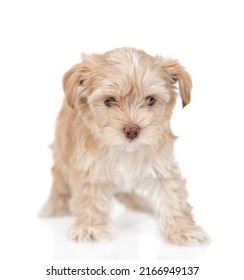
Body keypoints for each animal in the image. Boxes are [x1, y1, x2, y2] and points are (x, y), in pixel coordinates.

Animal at [41, 47, 209, 244]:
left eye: (151, 100)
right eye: (109, 100)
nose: (132, 130)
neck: (124, 151)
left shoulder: (162, 166)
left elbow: (173, 196)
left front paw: (183, 229)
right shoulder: (89, 167)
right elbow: (89, 197)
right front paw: (91, 227)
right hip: (61, 151)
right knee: (58, 181)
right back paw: (54, 207)